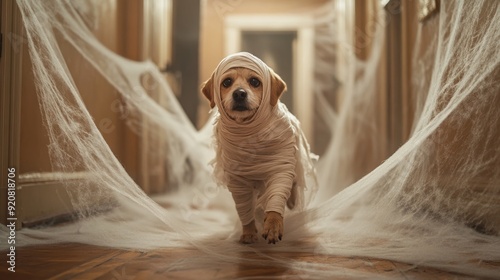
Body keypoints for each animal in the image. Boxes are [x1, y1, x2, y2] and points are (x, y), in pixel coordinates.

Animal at [200, 51, 314, 244]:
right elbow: (244, 211)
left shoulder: (280, 170)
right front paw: (248, 232)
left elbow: (276, 201)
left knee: (291, 187)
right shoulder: (237, 183)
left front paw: (273, 226)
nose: (239, 93)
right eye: (227, 82)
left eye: (254, 81)